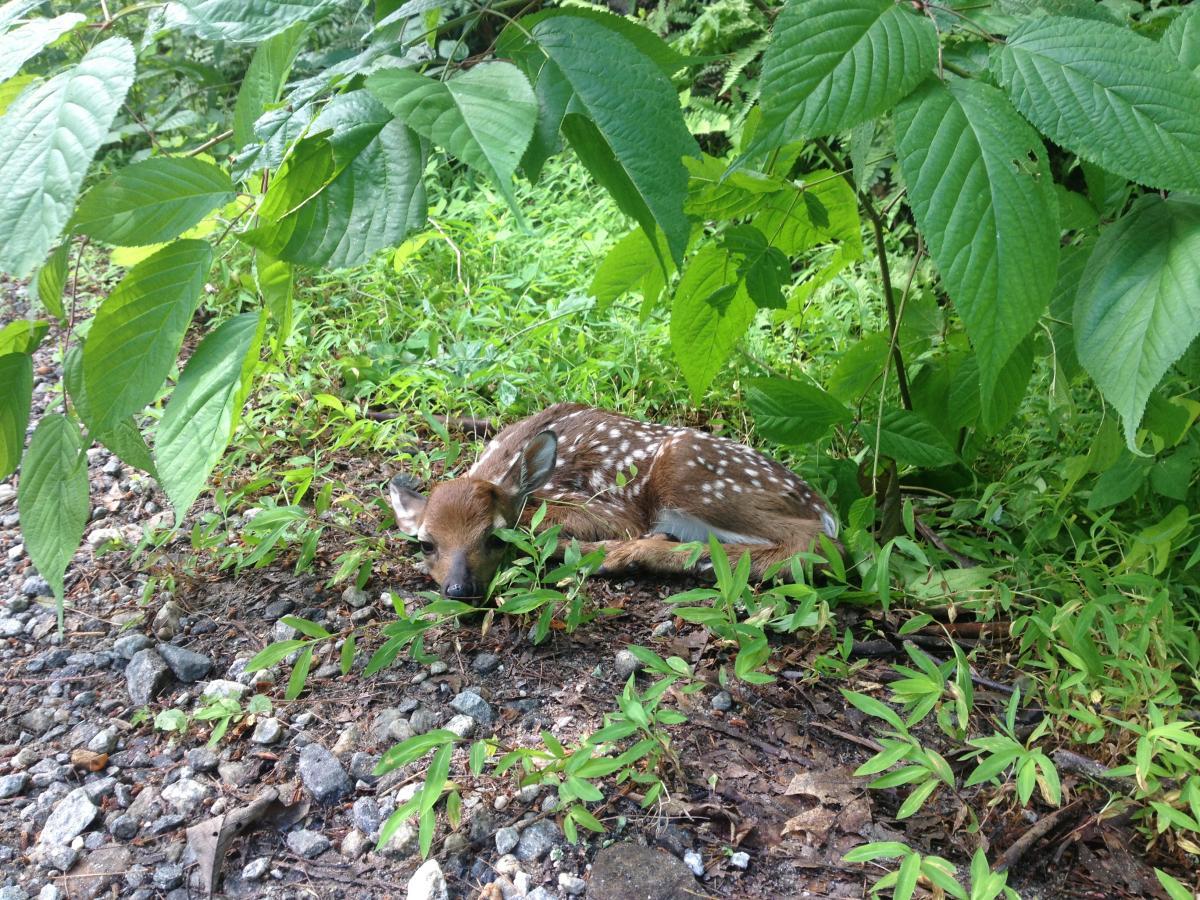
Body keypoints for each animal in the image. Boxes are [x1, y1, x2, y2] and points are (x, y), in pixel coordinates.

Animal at [387, 403, 838, 600]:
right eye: (426, 544)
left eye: (496, 538)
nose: (459, 589)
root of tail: (822, 506)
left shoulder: (612, 510)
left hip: (686, 472)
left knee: (813, 543)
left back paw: (617, 555)